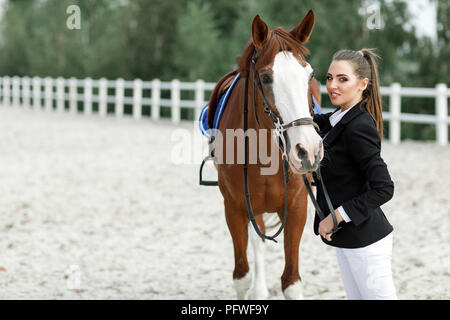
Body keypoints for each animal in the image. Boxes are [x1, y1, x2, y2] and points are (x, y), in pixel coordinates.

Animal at [207, 10, 324, 300]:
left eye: (310, 75)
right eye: (266, 78)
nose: (308, 150)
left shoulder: (297, 207)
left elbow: (291, 282)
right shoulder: (235, 208)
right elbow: (241, 276)